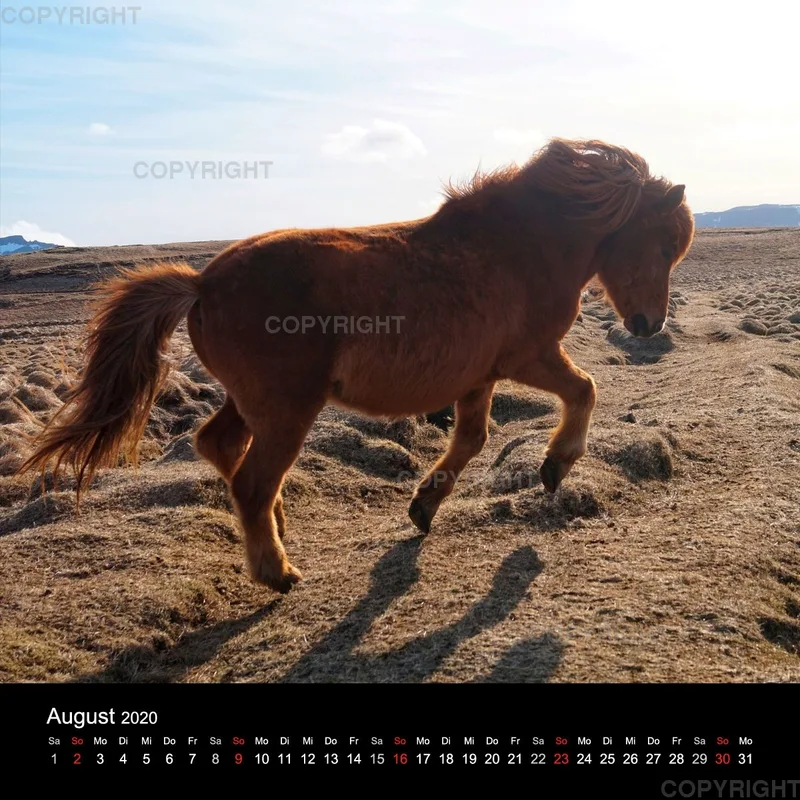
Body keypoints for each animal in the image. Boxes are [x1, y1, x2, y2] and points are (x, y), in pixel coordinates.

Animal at [19, 138, 695, 593]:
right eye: (664, 242)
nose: (648, 326)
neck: (521, 247)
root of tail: (202, 283)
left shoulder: (478, 377)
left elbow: (472, 440)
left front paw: (424, 506)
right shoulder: (529, 356)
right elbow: (584, 389)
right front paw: (555, 466)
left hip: (250, 402)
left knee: (219, 446)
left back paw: (276, 529)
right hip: (287, 409)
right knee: (251, 479)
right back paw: (277, 571)